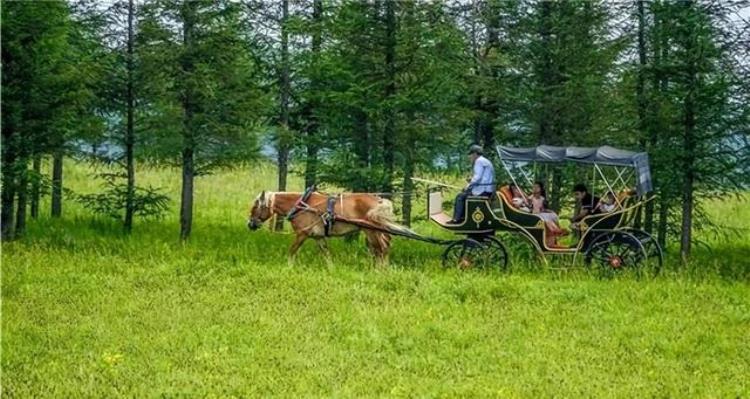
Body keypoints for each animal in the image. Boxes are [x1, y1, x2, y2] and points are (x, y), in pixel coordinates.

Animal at [248, 191, 400, 262]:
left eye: (255, 206)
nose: (250, 224)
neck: (301, 205)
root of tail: (380, 200)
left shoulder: (301, 234)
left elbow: (292, 251)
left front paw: (288, 266)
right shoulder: (318, 237)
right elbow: (327, 255)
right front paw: (331, 270)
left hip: (371, 231)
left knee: (381, 249)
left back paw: (380, 271)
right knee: (383, 248)